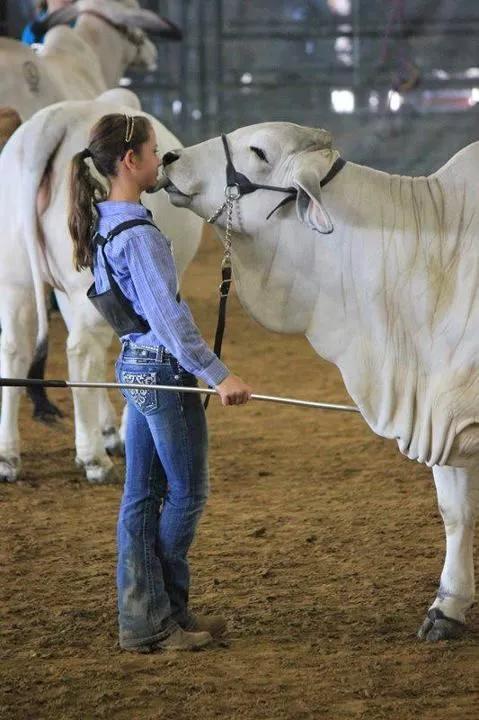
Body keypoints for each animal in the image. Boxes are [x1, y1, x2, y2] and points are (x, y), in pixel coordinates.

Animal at [0, 91, 203, 484]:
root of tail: (54, 120)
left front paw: (110, 429)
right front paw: (116, 432)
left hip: (15, 278)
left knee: (15, 348)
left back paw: (7, 456)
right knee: (81, 352)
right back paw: (92, 458)